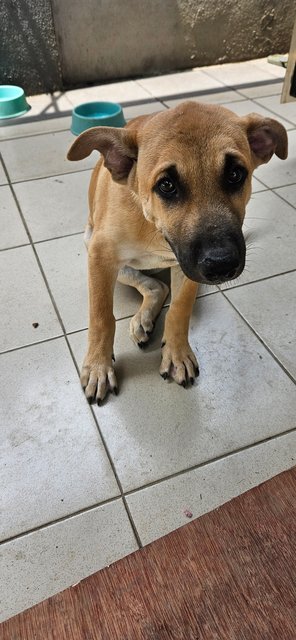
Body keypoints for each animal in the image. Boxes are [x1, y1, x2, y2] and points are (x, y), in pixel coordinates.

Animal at [67, 100, 286, 402]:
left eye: (235, 174)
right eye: (167, 185)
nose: (221, 265)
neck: (151, 225)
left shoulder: (187, 267)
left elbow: (180, 309)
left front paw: (177, 352)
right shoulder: (100, 255)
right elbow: (101, 316)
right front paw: (98, 366)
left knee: (159, 287)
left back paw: (144, 319)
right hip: (90, 242)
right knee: (152, 285)